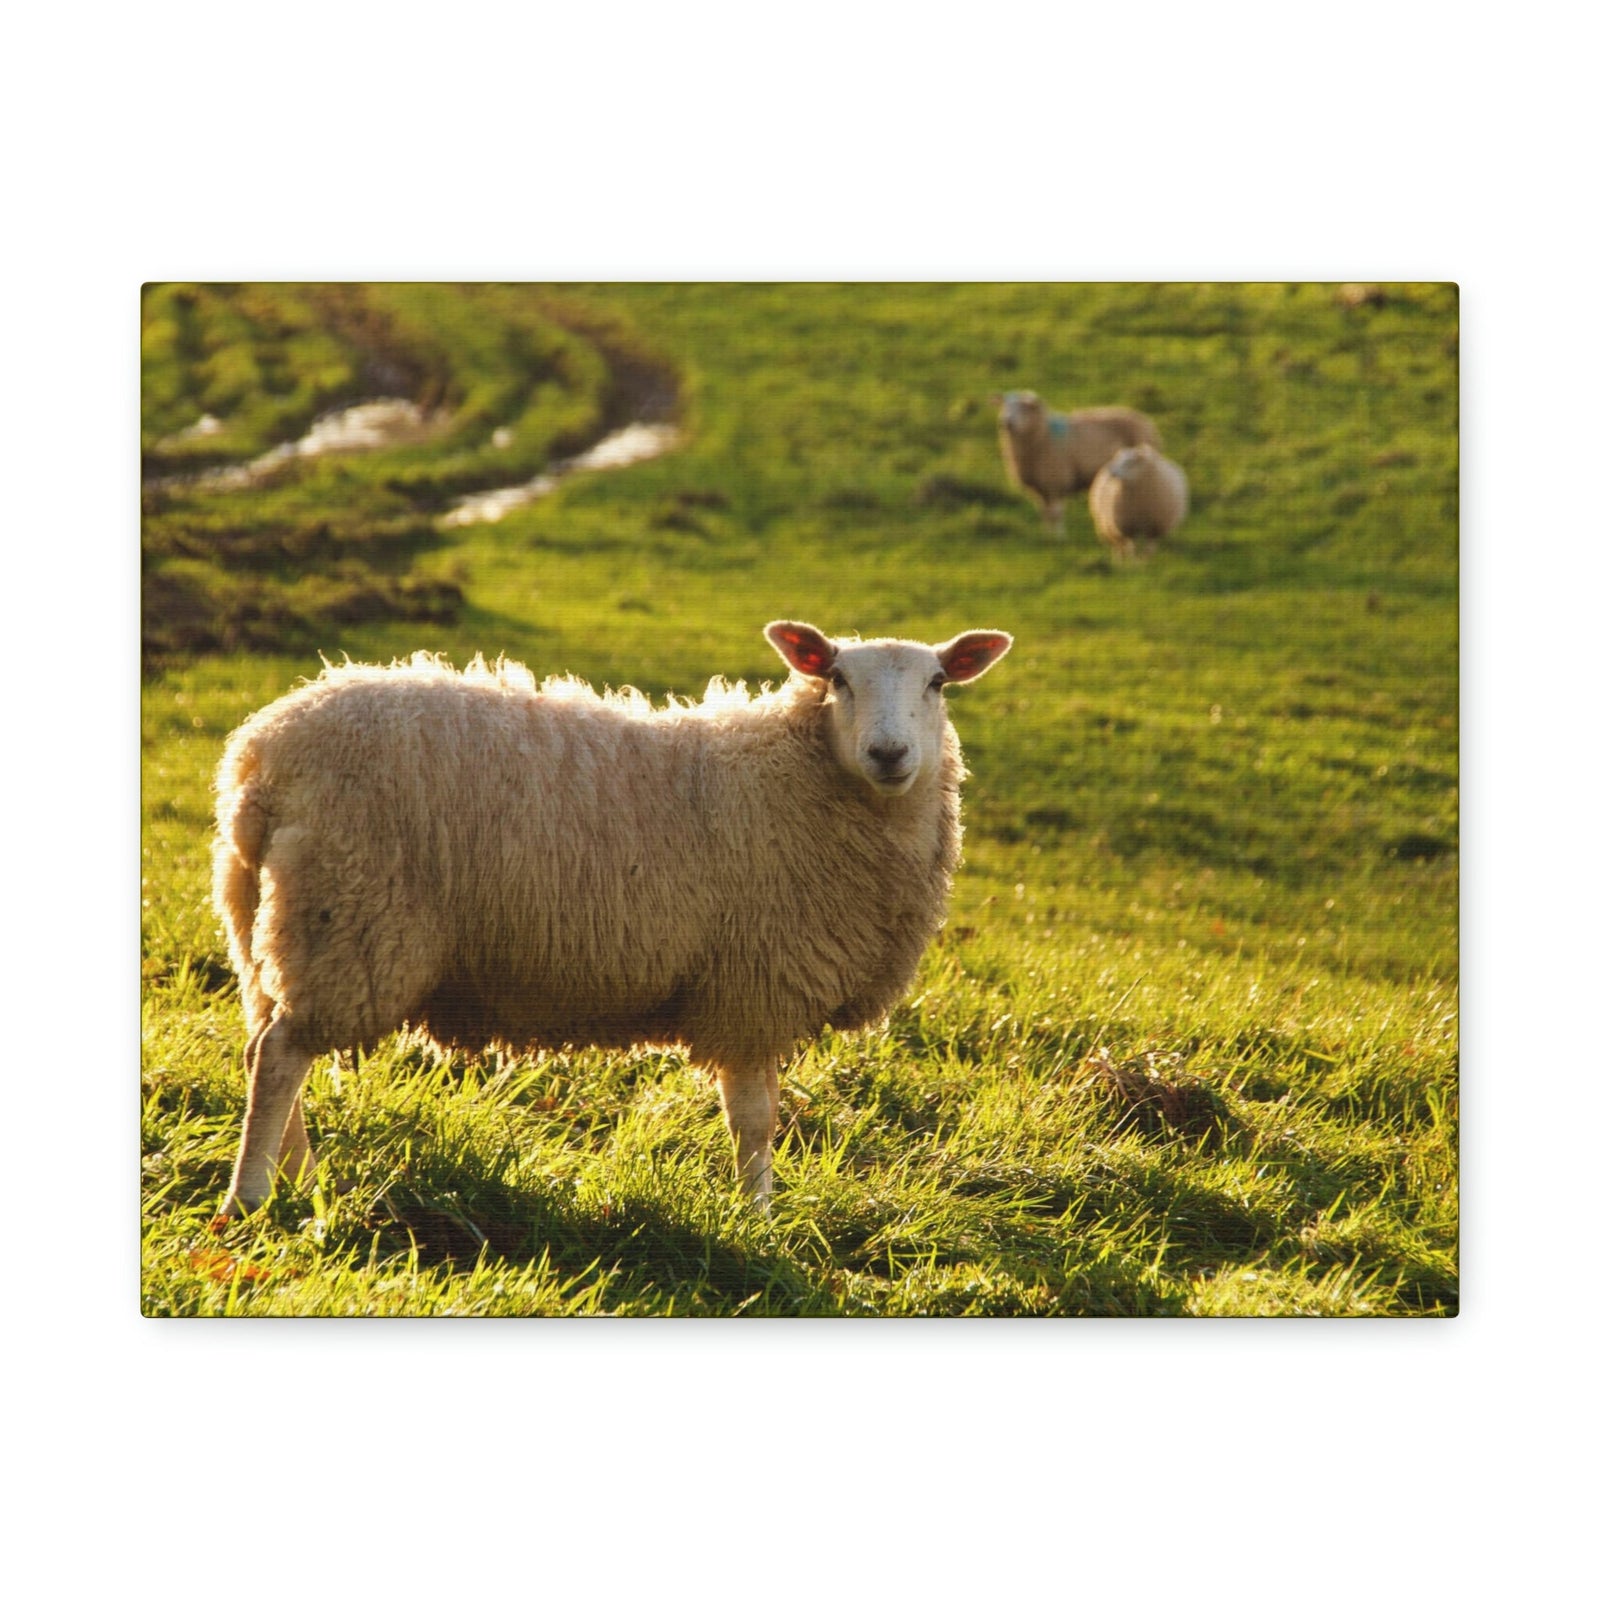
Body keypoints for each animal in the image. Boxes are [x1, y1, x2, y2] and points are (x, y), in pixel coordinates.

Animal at [211, 619, 1013, 1218]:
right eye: (838, 679)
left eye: (938, 683)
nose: (889, 753)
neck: (800, 774)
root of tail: (260, 757)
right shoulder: (752, 985)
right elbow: (755, 1118)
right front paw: (757, 1217)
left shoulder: (755, 987)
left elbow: (763, 1112)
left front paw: (757, 1210)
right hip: (349, 919)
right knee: (281, 1055)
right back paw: (249, 1199)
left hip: (268, 925)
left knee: (262, 1047)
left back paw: (300, 1180)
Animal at [993, 390, 1161, 534]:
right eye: (1004, 406)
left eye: (1023, 408)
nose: (1006, 422)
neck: (1043, 435)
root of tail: (1144, 420)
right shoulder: (1039, 487)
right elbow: (1045, 513)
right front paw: (1047, 535)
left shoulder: (1056, 481)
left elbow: (1056, 513)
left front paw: (1059, 537)